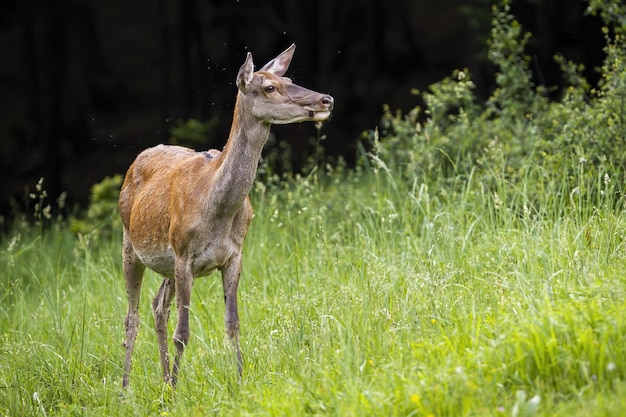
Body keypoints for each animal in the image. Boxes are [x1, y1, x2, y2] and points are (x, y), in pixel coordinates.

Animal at [117, 44, 332, 388]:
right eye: (269, 87)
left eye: (288, 78)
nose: (326, 99)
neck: (216, 208)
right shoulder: (184, 254)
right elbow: (183, 332)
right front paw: (177, 391)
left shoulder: (234, 256)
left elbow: (233, 323)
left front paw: (241, 382)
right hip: (130, 244)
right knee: (131, 316)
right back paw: (127, 388)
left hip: (166, 264)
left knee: (158, 306)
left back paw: (163, 380)